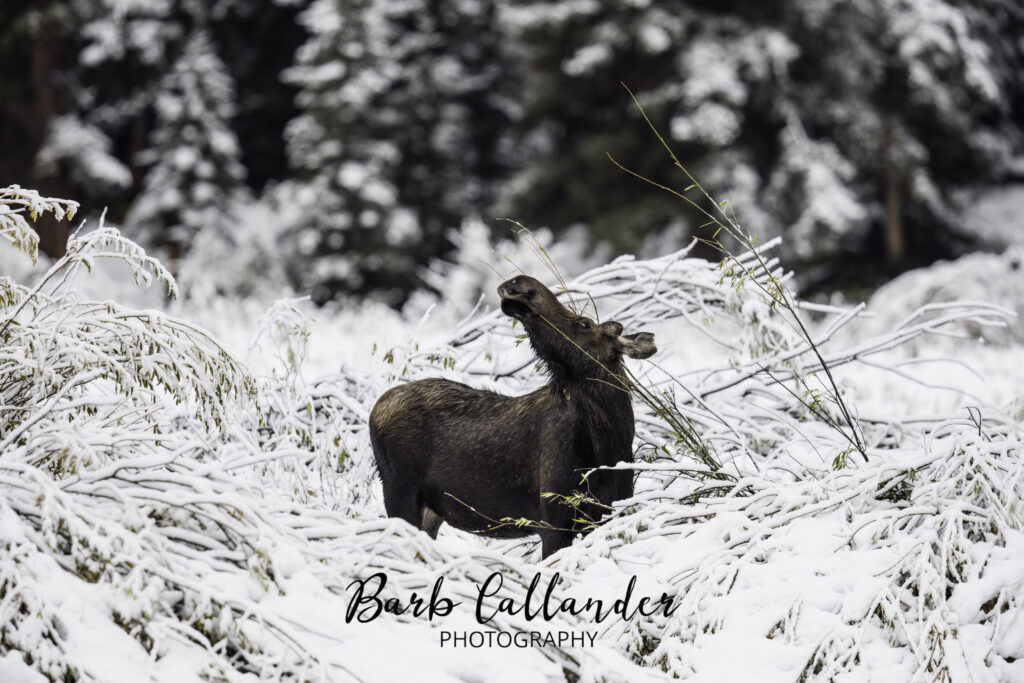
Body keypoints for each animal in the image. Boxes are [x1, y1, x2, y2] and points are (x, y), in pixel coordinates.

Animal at [368, 275, 656, 558]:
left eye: (583, 323)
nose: (520, 284)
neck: (608, 442)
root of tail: (376, 408)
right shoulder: (553, 519)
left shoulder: (606, 513)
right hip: (399, 490)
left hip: (429, 511)